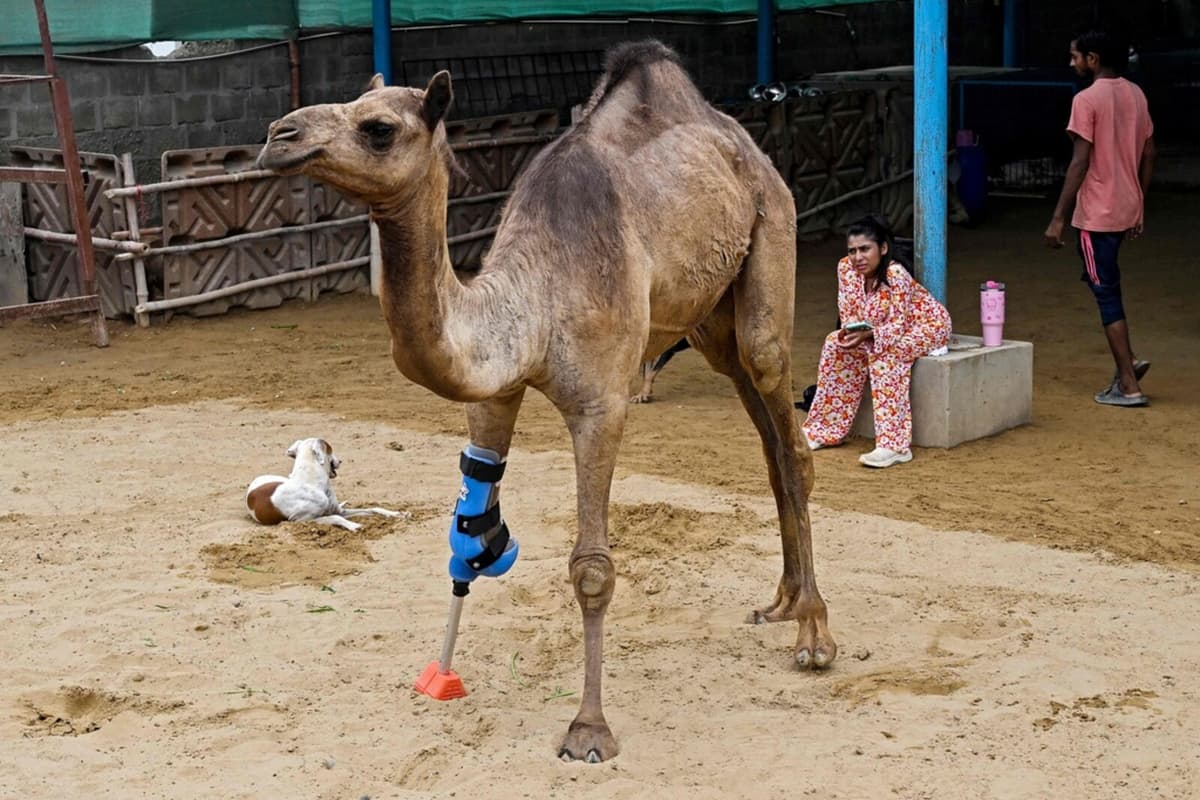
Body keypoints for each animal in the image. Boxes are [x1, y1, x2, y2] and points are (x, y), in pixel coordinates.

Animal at [257, 40, 836, 763]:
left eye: (378, 127)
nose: (278, 136)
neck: (530, 305)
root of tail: (744, 144)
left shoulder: (600, 404)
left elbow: (591, 568)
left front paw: (588, 730)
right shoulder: (491, 395)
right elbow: (465, 537)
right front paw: (439, 674)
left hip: (769, 242)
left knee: (790, 432)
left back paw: (814, 636)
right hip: (711, 323)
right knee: (768, 440)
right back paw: (781, 601)